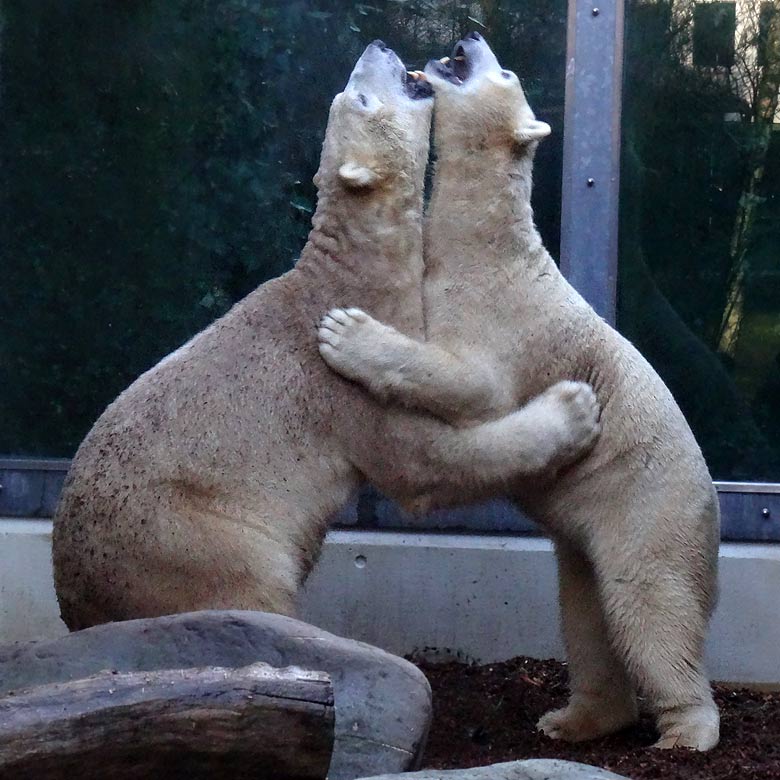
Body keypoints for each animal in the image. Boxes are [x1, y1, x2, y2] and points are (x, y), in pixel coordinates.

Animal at [53, 39, 604, 632]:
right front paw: (574, 408)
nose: (378, 45)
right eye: (357, 98)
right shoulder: (341, 391)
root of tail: (76, 600)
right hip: (190, 539)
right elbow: (426, 464)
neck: (351, 275)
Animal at [320, 33, 724, 752]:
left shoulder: (508, 319)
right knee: (586, 611)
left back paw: (683, 732)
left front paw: (347, 332)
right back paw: (571, 720)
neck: (487, 249)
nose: (469, 38)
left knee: (651, 604)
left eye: (504, 71)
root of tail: (715, 512)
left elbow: (473, 385)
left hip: (650, 508)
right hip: (596, 528)